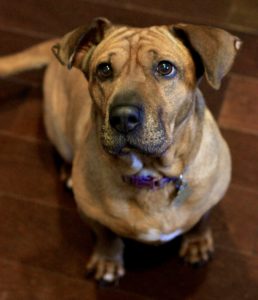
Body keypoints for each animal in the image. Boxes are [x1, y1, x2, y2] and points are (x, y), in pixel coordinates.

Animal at [0, 17, 242, 282]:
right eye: (104, 69)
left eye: (165, 68)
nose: (123, 117)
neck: (151, 174)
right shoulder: (93, 215)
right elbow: (107, 237)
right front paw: (107, 262)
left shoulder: (210, 199)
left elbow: (202, 221)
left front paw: (197, 243)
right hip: (57, 128)